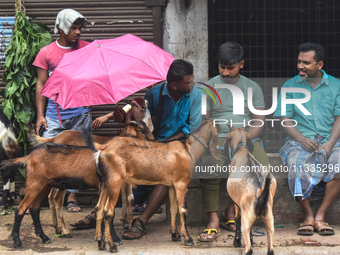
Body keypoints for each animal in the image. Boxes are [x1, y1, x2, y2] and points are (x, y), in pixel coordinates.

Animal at [0, 120, 153, 248]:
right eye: (141, 130)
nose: (152, 140)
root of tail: (29, 157)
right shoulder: (107, 186)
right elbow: (109, 210)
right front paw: (113, 238)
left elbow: (112, 207)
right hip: (35, 183)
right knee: (21, 209)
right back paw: (18, 240)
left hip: (45, 185)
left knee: (35, 208)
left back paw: (45, 237)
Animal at [83, 119, 219, 251]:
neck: (188, 148)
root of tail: (103, 147)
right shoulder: (181, 183)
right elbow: (183, 209)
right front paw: (188, 238)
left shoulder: (171, 185)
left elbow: (173, 209)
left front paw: (175, 235)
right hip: (115, 182)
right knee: (108, 211)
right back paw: (112, 245)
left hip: (105, 183)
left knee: (99, 209)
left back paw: (100, 243)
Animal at [226, 127, 276, 255]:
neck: (242, 148)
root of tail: (261, 192)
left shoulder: (238, 205)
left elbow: (236, 218)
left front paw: (237, 241)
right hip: (269, 219)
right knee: (270, 249)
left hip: (247, 219)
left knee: (249, 248)